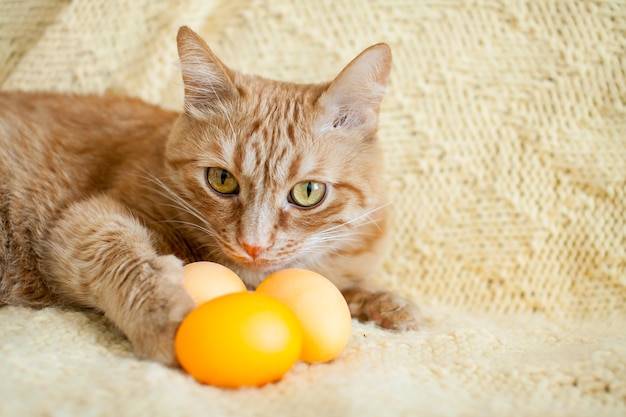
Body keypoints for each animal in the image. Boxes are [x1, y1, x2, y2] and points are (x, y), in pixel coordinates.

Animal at [2, 26, 420, 364]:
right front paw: (167, 314)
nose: (253, 245)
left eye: (307, 192)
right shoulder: (82, 221)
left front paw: (384, 302)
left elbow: (344, 286)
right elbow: (122, 257)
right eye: (221, 180)